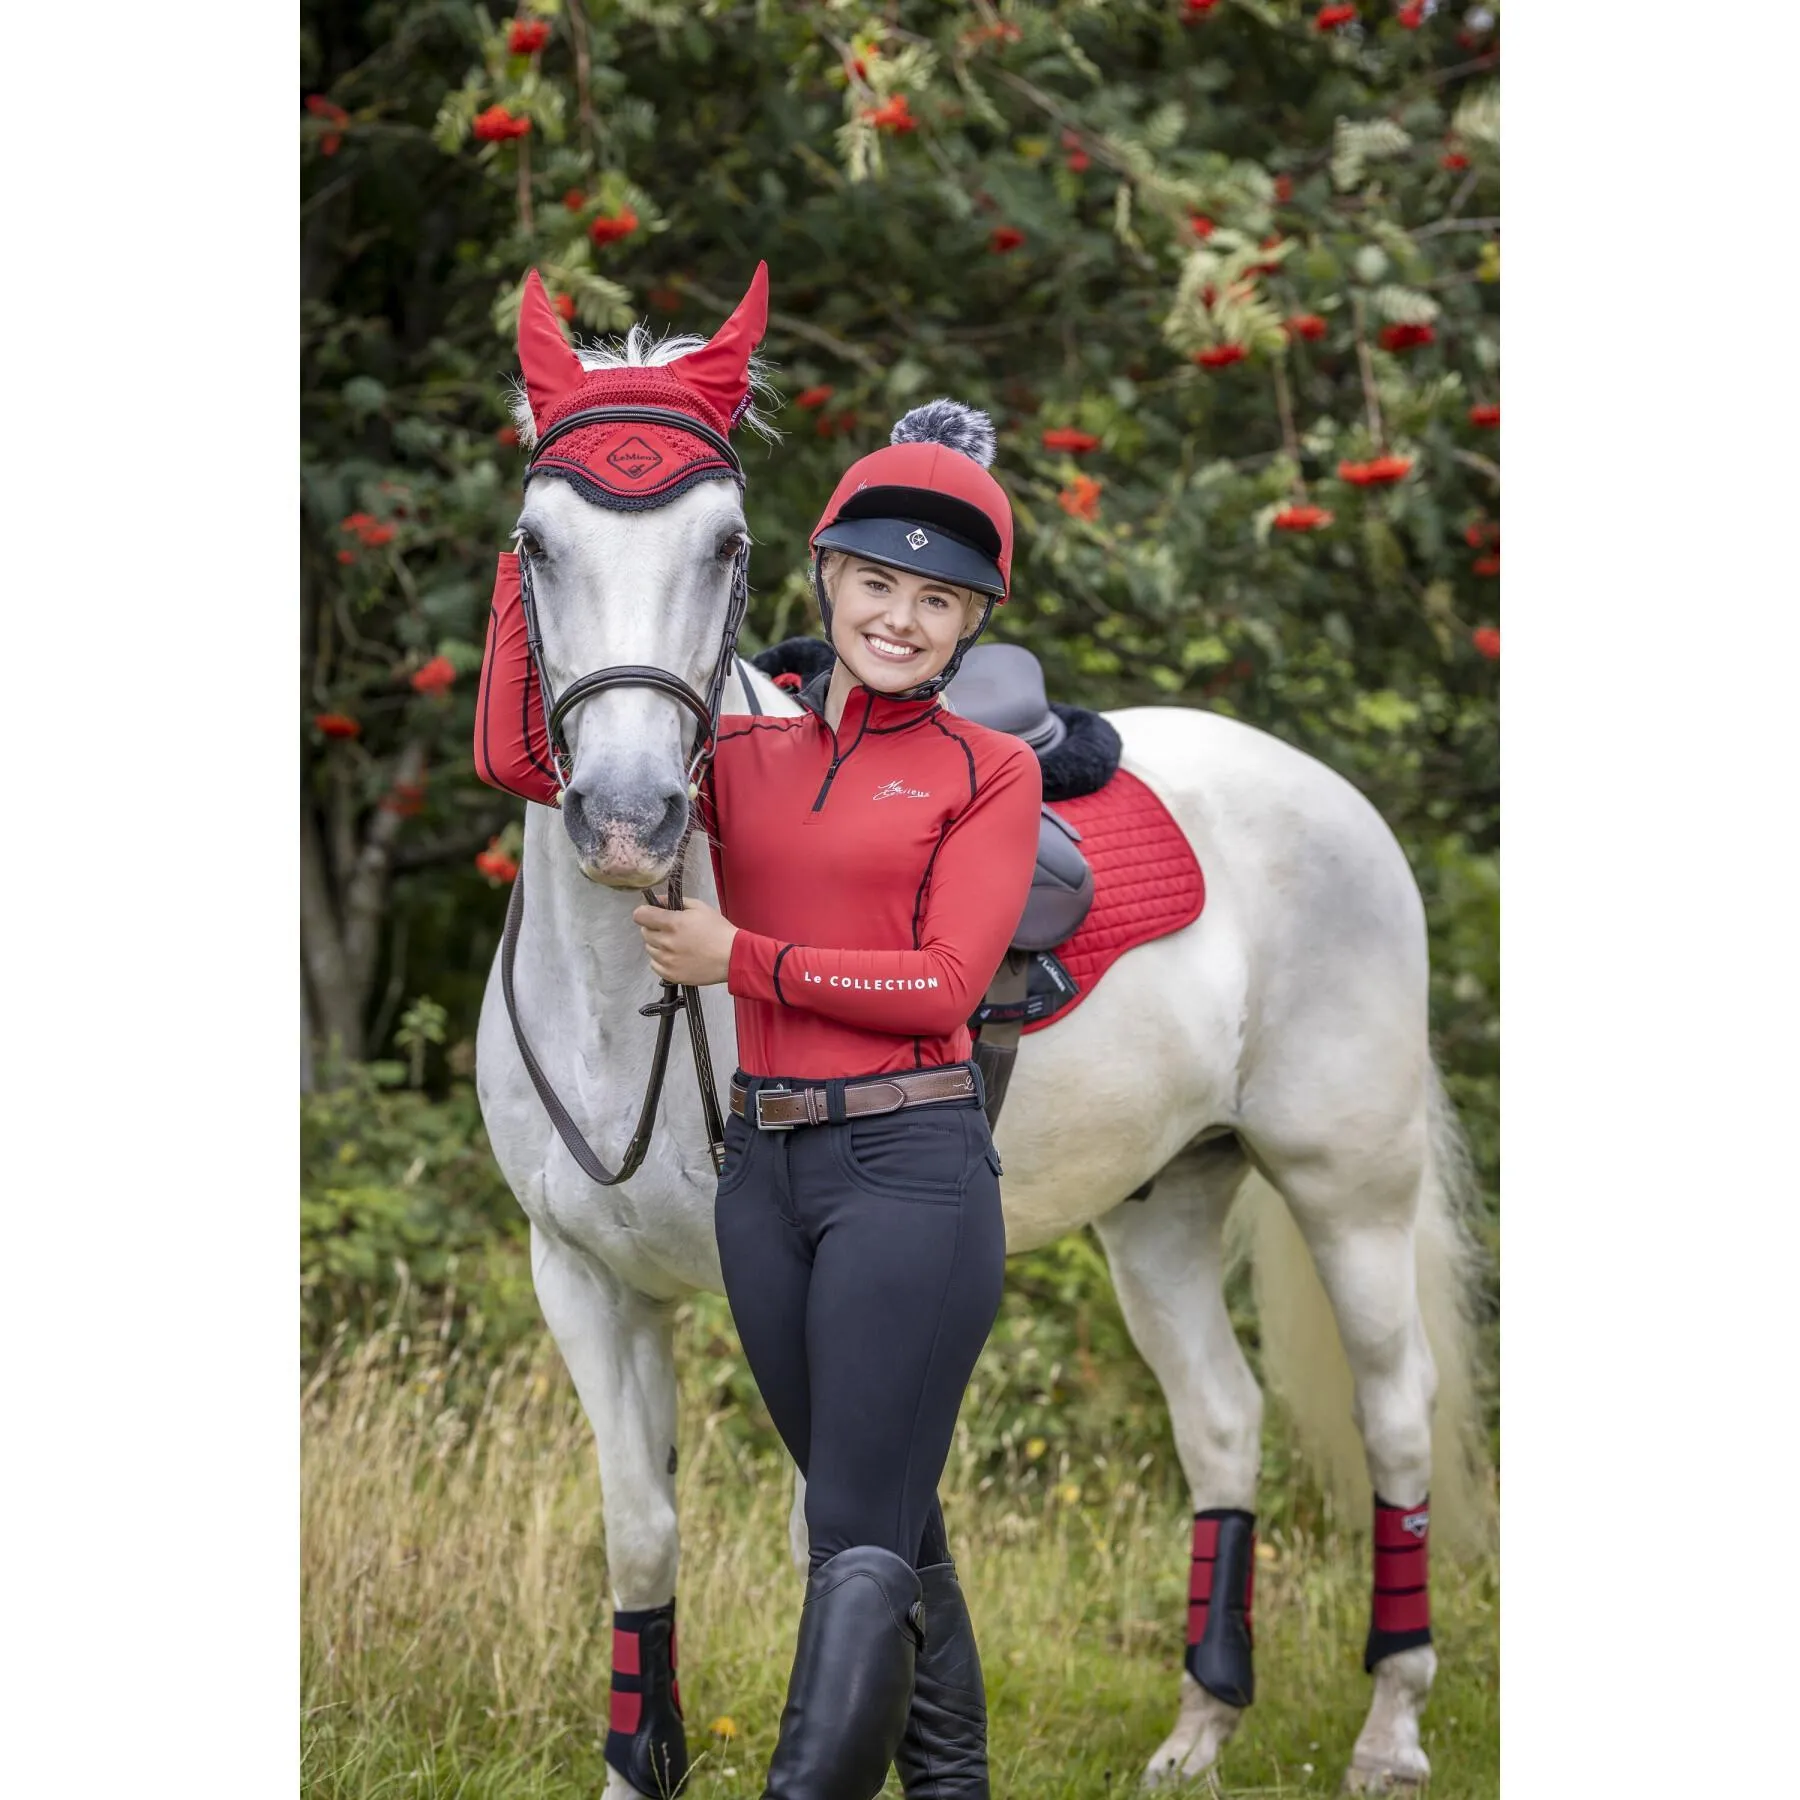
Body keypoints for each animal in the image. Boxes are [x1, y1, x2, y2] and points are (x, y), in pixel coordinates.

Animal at [471, 331, 1483, 1792]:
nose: (625, 816)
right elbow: (644, 1535)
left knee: (1394, 1419)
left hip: (1350, 1190)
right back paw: (1198, 1730)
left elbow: (841, 1532)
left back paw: (1391, 1730)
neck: (627, 997)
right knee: (1222, 1422)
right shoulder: (589, 1284)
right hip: (1162, 1207)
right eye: (537, 543)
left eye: (726, 544)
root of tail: (1324, 789)